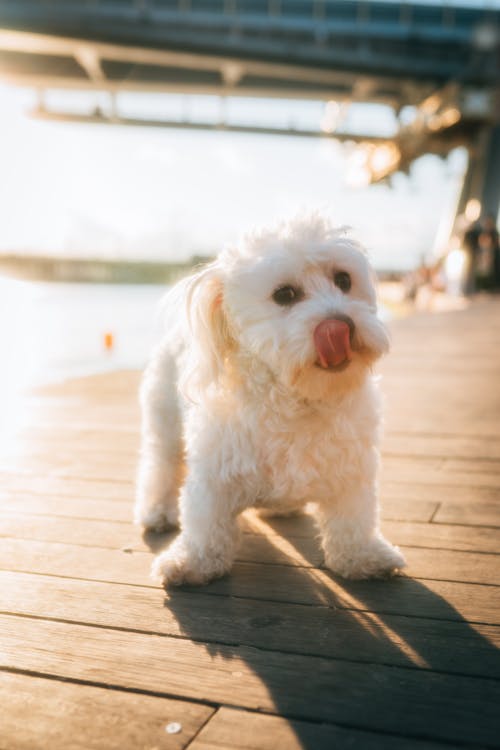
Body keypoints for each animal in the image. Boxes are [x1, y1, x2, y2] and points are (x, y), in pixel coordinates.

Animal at [136, 216, 406, 588]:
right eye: (284, 294)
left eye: (343, 280)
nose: (339, 326)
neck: (298, 397)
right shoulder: (212, 472)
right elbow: (205, 522)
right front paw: (193, 561)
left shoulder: (353, 469)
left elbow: (354, 518)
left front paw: (364, 556)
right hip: (163, 421)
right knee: (161, 467)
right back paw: (158, 511)